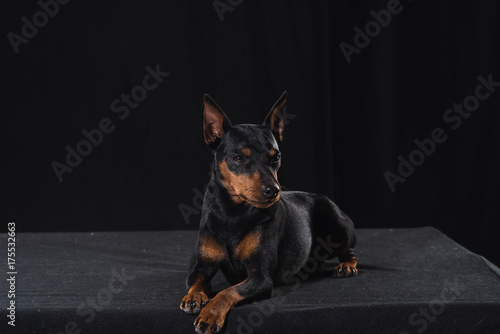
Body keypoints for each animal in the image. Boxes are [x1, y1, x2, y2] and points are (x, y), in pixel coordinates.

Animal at [180, 91, 356, 334]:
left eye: (276, 157)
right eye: (239, 158)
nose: (273, 191)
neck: (232, 212)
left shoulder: (261, 278)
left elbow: (228, 291)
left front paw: (211, 313)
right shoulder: (201, 266)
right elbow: (196, 282)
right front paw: (195, 297)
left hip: (334, 218)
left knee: (349, 250)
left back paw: (346, 266)